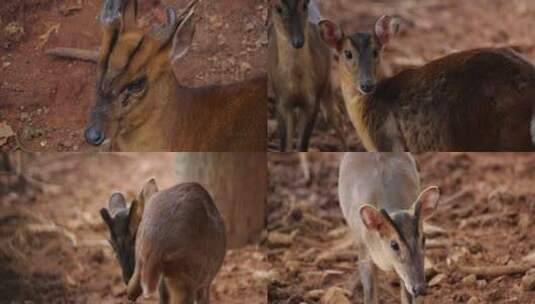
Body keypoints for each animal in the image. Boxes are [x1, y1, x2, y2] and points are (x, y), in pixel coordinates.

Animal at [268, 0, 348, 151]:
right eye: (278, 8)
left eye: (304, 5)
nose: (298, 41)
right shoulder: (281, 102)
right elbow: (285, 145)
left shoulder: (312, 101)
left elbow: (303, 144)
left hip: (326, 84)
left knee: (335, 116)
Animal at [340, 154, 440, 304]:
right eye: (394, 245)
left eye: (423, 239)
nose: (420, 288)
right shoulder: (364, 252)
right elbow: (370, 296)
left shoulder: (403, 273)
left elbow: (406, 296)